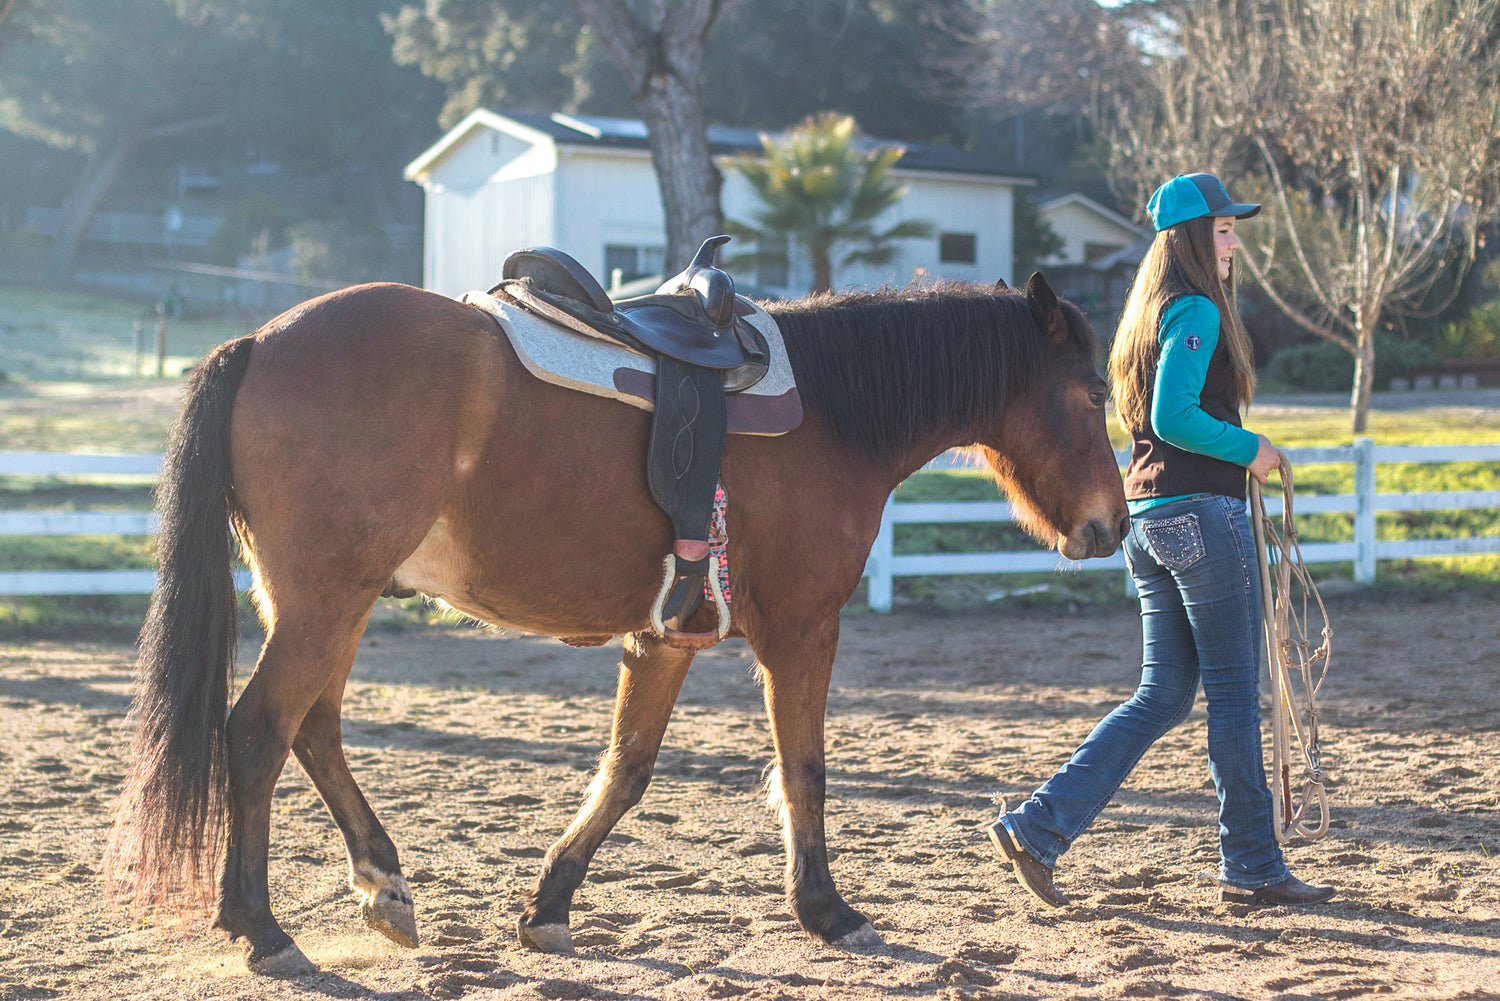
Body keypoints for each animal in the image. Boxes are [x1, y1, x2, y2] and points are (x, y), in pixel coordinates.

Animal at [105, 271, 1128, 972]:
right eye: (1091, 395)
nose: (1112, 525)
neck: (834, 413)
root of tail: (261, 339)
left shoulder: (665, 635)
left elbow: (627, 769)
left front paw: (550, 902)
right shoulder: (802, 629)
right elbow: (803, 772)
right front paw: (827, 909)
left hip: (332, 602)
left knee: (312, 731)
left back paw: (383, 883)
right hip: (323, 603)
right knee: (256, 734)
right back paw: (262, 927)